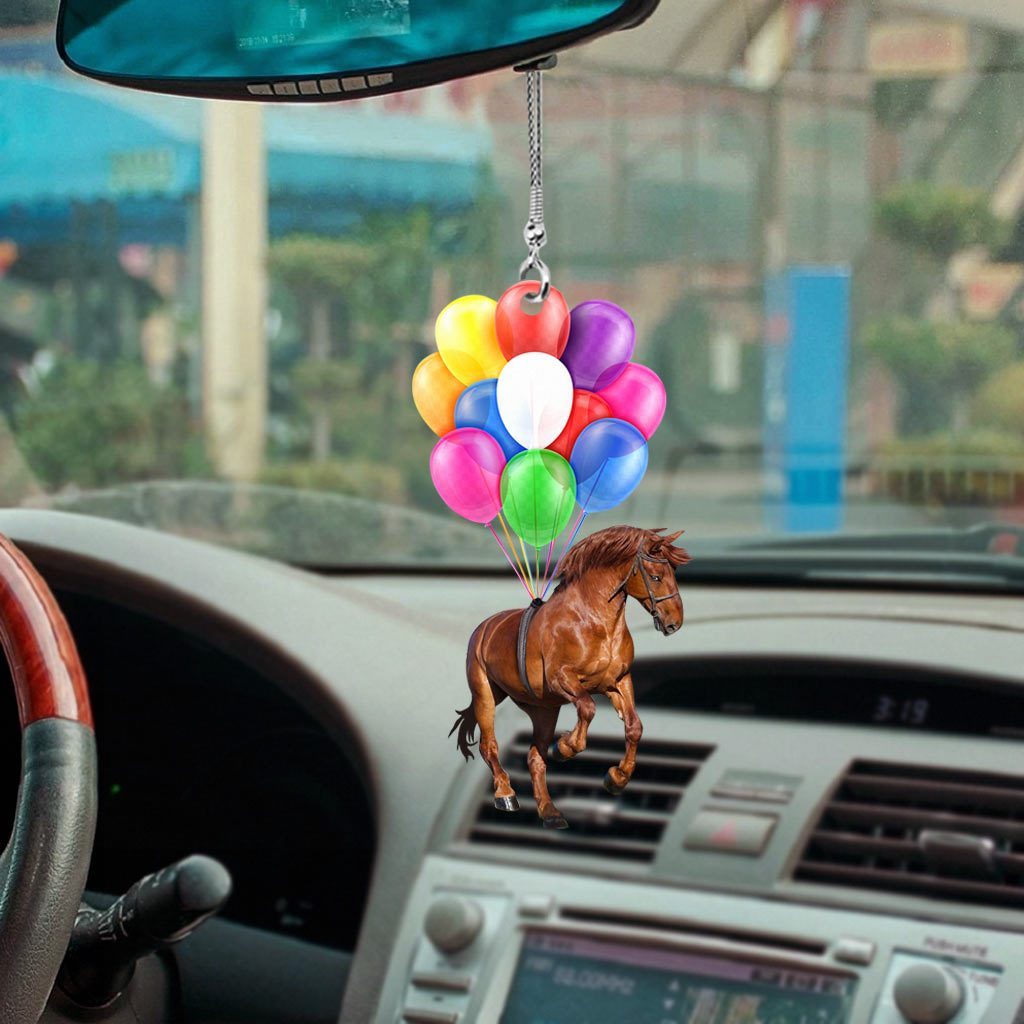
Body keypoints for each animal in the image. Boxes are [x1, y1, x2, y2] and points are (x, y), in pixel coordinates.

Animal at [448, 524, 688, 827]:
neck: (593, 621)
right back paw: (506, 795)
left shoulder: (618, 682)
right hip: (486, 696)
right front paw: (564, 747)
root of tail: (485, 627)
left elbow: (634, 727)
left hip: (543, 710)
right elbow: (588, 708)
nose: (674, 623)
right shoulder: (562, 680)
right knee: (489, 747)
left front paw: (616, 779)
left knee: (534, 757)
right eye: (656, 576)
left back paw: (550, 812)